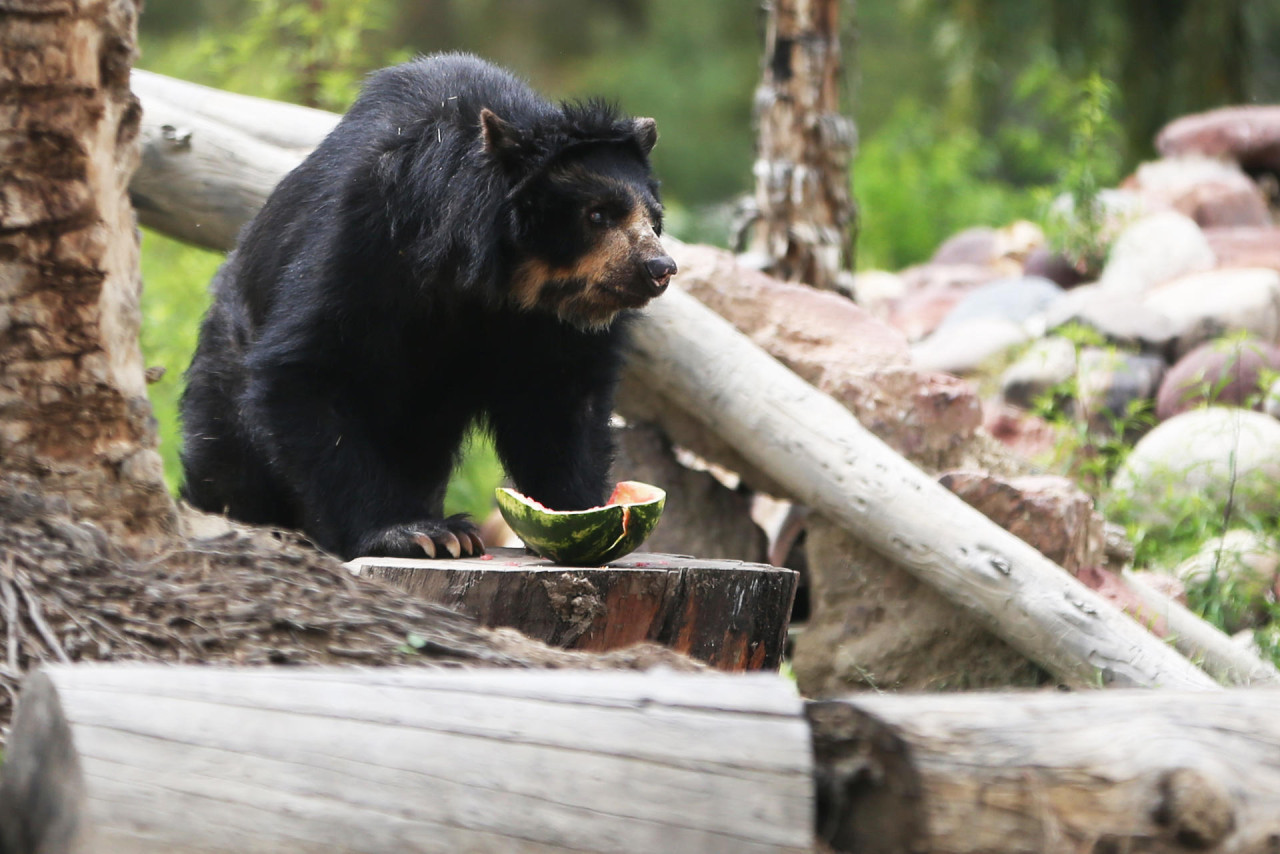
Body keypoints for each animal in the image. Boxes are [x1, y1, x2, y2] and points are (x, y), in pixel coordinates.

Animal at [183, 53, 680, 560]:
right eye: (598, 214)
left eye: (654, 218)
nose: (659, 268)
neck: (493, 276)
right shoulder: (365, 236)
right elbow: (310, 366)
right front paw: (415, 533)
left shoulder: (546, 323)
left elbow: (562, 397)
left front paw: (580, 511)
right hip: (227, 366)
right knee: (231, 463)